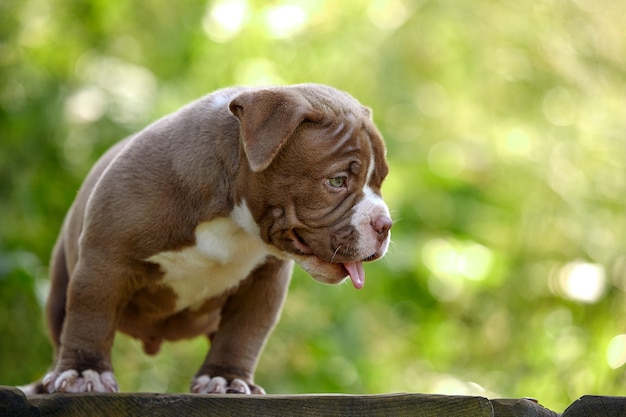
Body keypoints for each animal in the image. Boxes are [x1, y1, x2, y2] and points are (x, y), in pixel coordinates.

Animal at [19, 83, 390, 394]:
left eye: (380, 181)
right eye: (337, 181)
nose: (385, 223)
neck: (233, 218)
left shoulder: (263, 284)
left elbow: (242, 334)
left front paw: (225, 379)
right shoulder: (105, 260)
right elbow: (90, 316)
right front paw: (86, 372)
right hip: (59, 285)